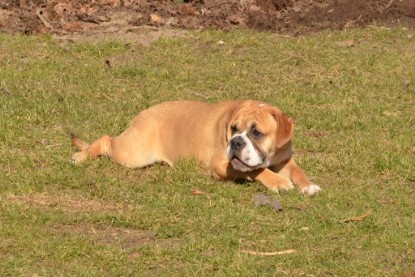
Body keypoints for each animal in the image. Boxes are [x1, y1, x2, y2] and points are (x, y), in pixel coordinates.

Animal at [71, 99, 322, 194]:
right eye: (233, 128)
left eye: (257, 133)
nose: (235, 141)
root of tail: (142, 114)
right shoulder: (221, 165)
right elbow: (257, 170)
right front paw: (278, 182)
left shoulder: (284, 160)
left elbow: (298, 171)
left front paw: (308, 185)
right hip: (132, 155)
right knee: (105, 140)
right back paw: (81, 156)